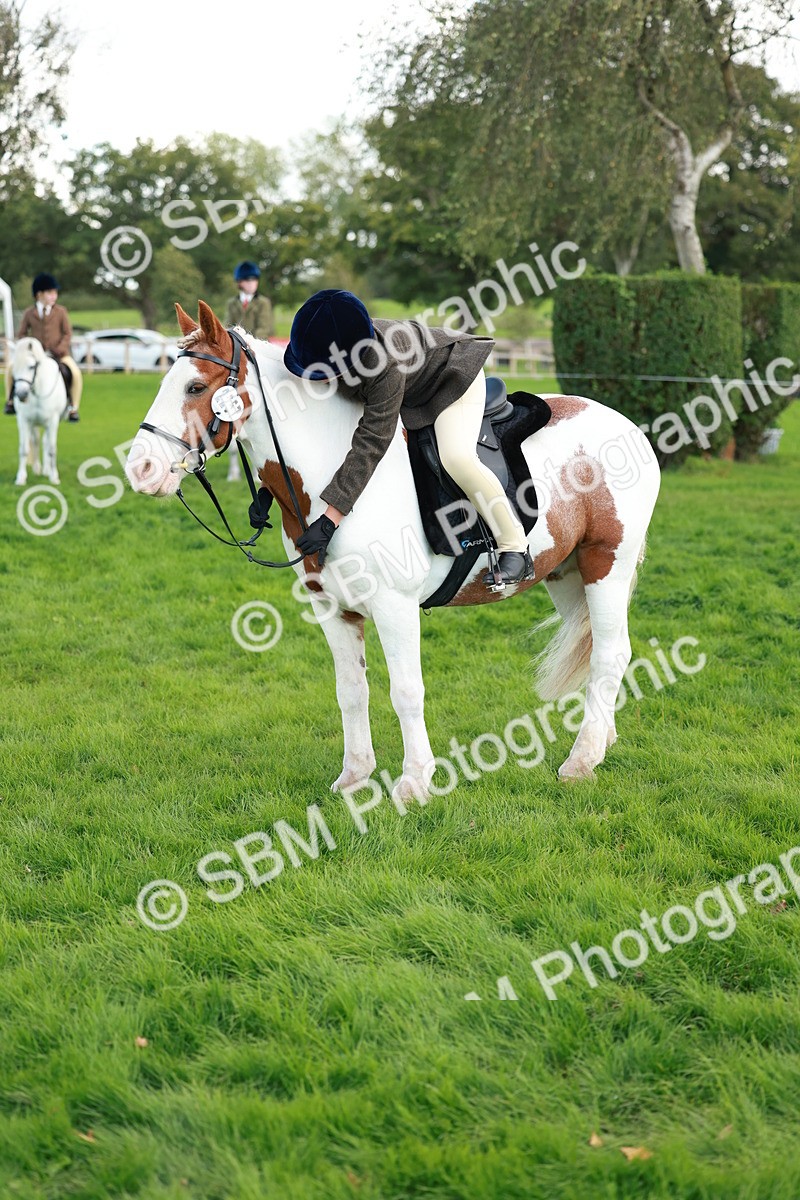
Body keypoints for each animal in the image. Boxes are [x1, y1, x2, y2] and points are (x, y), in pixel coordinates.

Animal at [10, 338, 68, 486]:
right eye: (13, 368)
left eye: (31, 366)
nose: (21, 394)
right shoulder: (24, 421)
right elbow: (24, 449)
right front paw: (21, 478)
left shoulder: (53, 421)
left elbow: (52, 449)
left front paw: (54, 477)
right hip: (34, 424)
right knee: (36, 440)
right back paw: (38, 469)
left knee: (46, 442)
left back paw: (47, 471)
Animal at [125, 301, 661, 795]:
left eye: (195, 387)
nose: (140, 470)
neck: (333, 477)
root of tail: (628, 427)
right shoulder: (333, 610)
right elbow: (351, 691)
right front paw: (355, 776)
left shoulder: (394, 606)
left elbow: (405, 691)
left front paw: (415, 782)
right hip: (567, 574)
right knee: (602, 649)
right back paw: (602, 740)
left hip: (605, 565)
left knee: (609, 654)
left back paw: (581, 760)